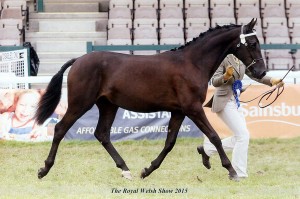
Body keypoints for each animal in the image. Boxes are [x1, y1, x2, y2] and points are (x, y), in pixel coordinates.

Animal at [35, 18, 268, 180]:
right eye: (252, 42)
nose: (261, 72)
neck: (192, 63)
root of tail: (78, 60)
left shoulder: (179, 111)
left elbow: (170, 142)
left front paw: (147, 170)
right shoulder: (193, 108)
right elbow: (214, 137)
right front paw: (231, 170)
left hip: (108, 105)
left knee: (102, 134)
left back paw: (126, 170)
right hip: (80, 103)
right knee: (60, 129)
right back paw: (44, 169)